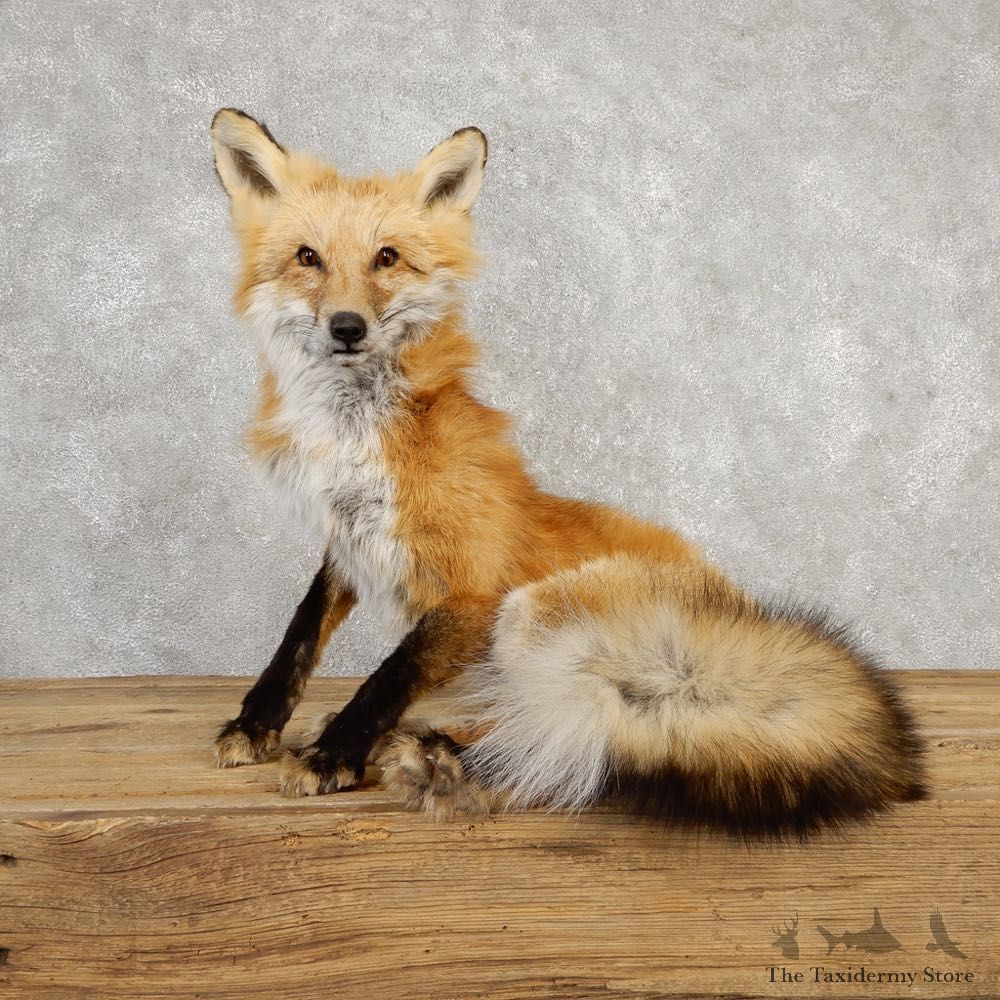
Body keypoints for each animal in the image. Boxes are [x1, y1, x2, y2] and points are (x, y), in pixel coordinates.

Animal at [208, 108, 926, 838]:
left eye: (386, 257)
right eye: (308, 258)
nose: (347, 327)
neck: (354, 433)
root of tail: (741, 626)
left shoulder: (474, 593)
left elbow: (389, 673)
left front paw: (334, 754)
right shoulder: (348, 542)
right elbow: (300, 632)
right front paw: (259, 724)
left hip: (539, 620)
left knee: (575, 735)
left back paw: (447, 761)